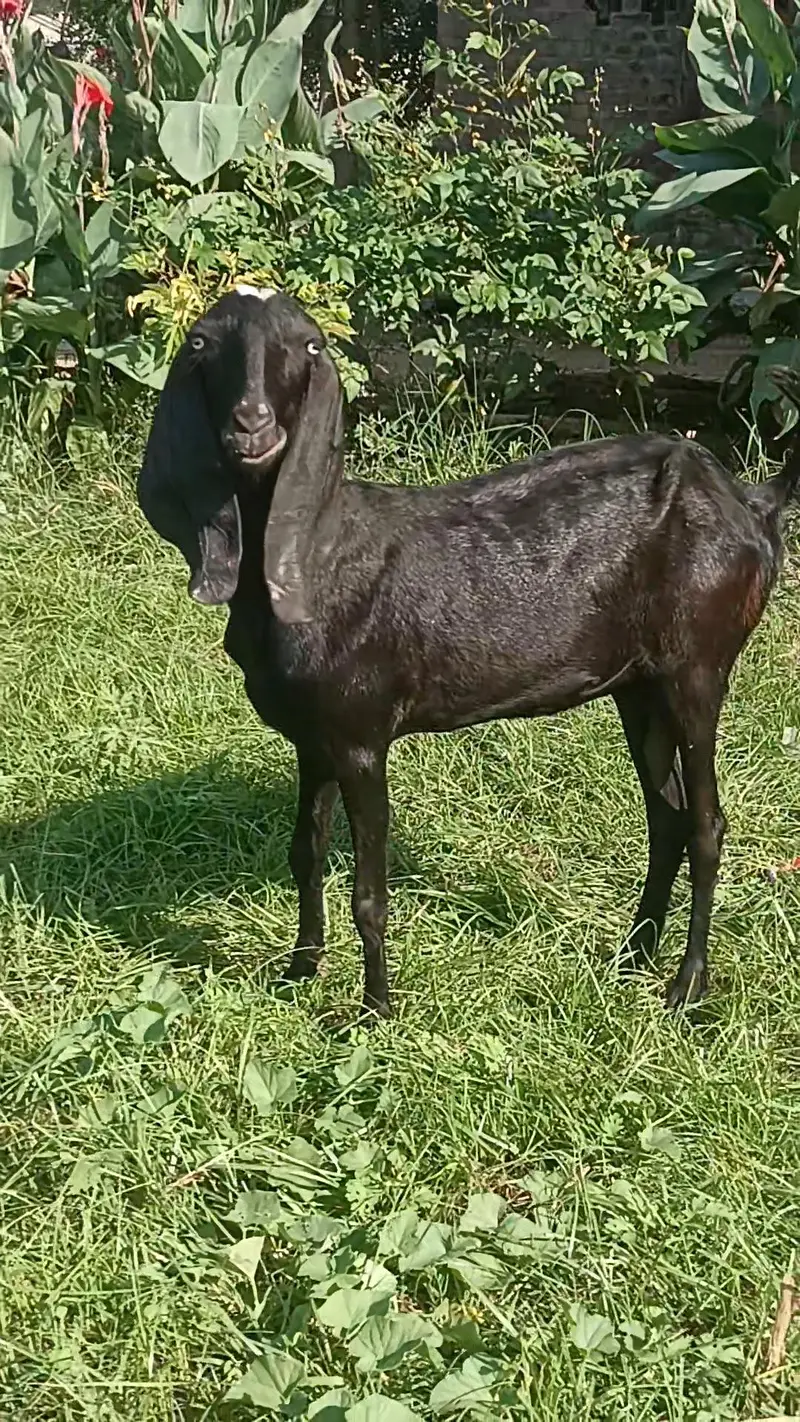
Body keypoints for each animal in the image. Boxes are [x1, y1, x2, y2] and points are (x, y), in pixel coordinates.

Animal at [137, 289, 799, 1019]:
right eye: (201, 342)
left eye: (308, 345)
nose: (251, 426)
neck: (318, 557)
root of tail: (753, 503)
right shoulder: (313, 737)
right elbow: (304, 853)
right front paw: (298, 974)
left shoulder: (363, 737)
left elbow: (368, 893)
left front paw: (375, 1012)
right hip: (639, 684)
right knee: (668, 819)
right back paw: (631, 957)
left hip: (698, 667)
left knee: (707, 824)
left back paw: (685, 987)